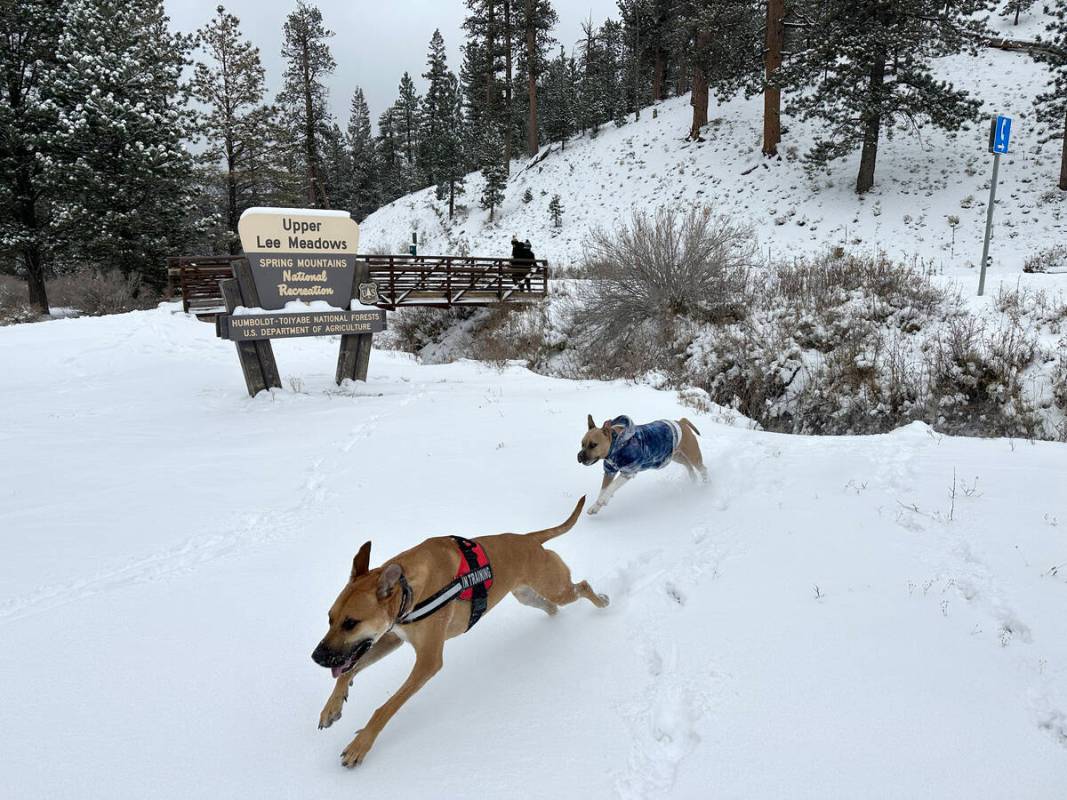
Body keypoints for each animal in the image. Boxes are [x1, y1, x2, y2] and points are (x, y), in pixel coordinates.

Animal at [311, 499, 606, 768]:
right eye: (330, 618)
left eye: (351, 623)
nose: (316, 657)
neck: (409, 589)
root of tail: (528, 539)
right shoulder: (392, 636)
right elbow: (350, 669)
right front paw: (332, 707)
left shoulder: (428, 662)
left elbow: (386, 707)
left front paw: (360, 744)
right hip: (527, 595)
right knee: (551, 606)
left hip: (556, 586)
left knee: (581, 586)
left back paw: (601, 601)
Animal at [576, 416, 708, 516]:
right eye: (582, 444)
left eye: (593, 445)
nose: (579, 457)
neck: (617, 444)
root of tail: (681, 422)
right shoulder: (609, 471)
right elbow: (603, 489)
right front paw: (595, 506)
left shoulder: (628, 471)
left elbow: (611, 487)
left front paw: (603, 500)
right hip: (673, 456)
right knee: (688, 465)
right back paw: (693, 478)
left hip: (692, 454)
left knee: (702, 468)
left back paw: (707, 484)